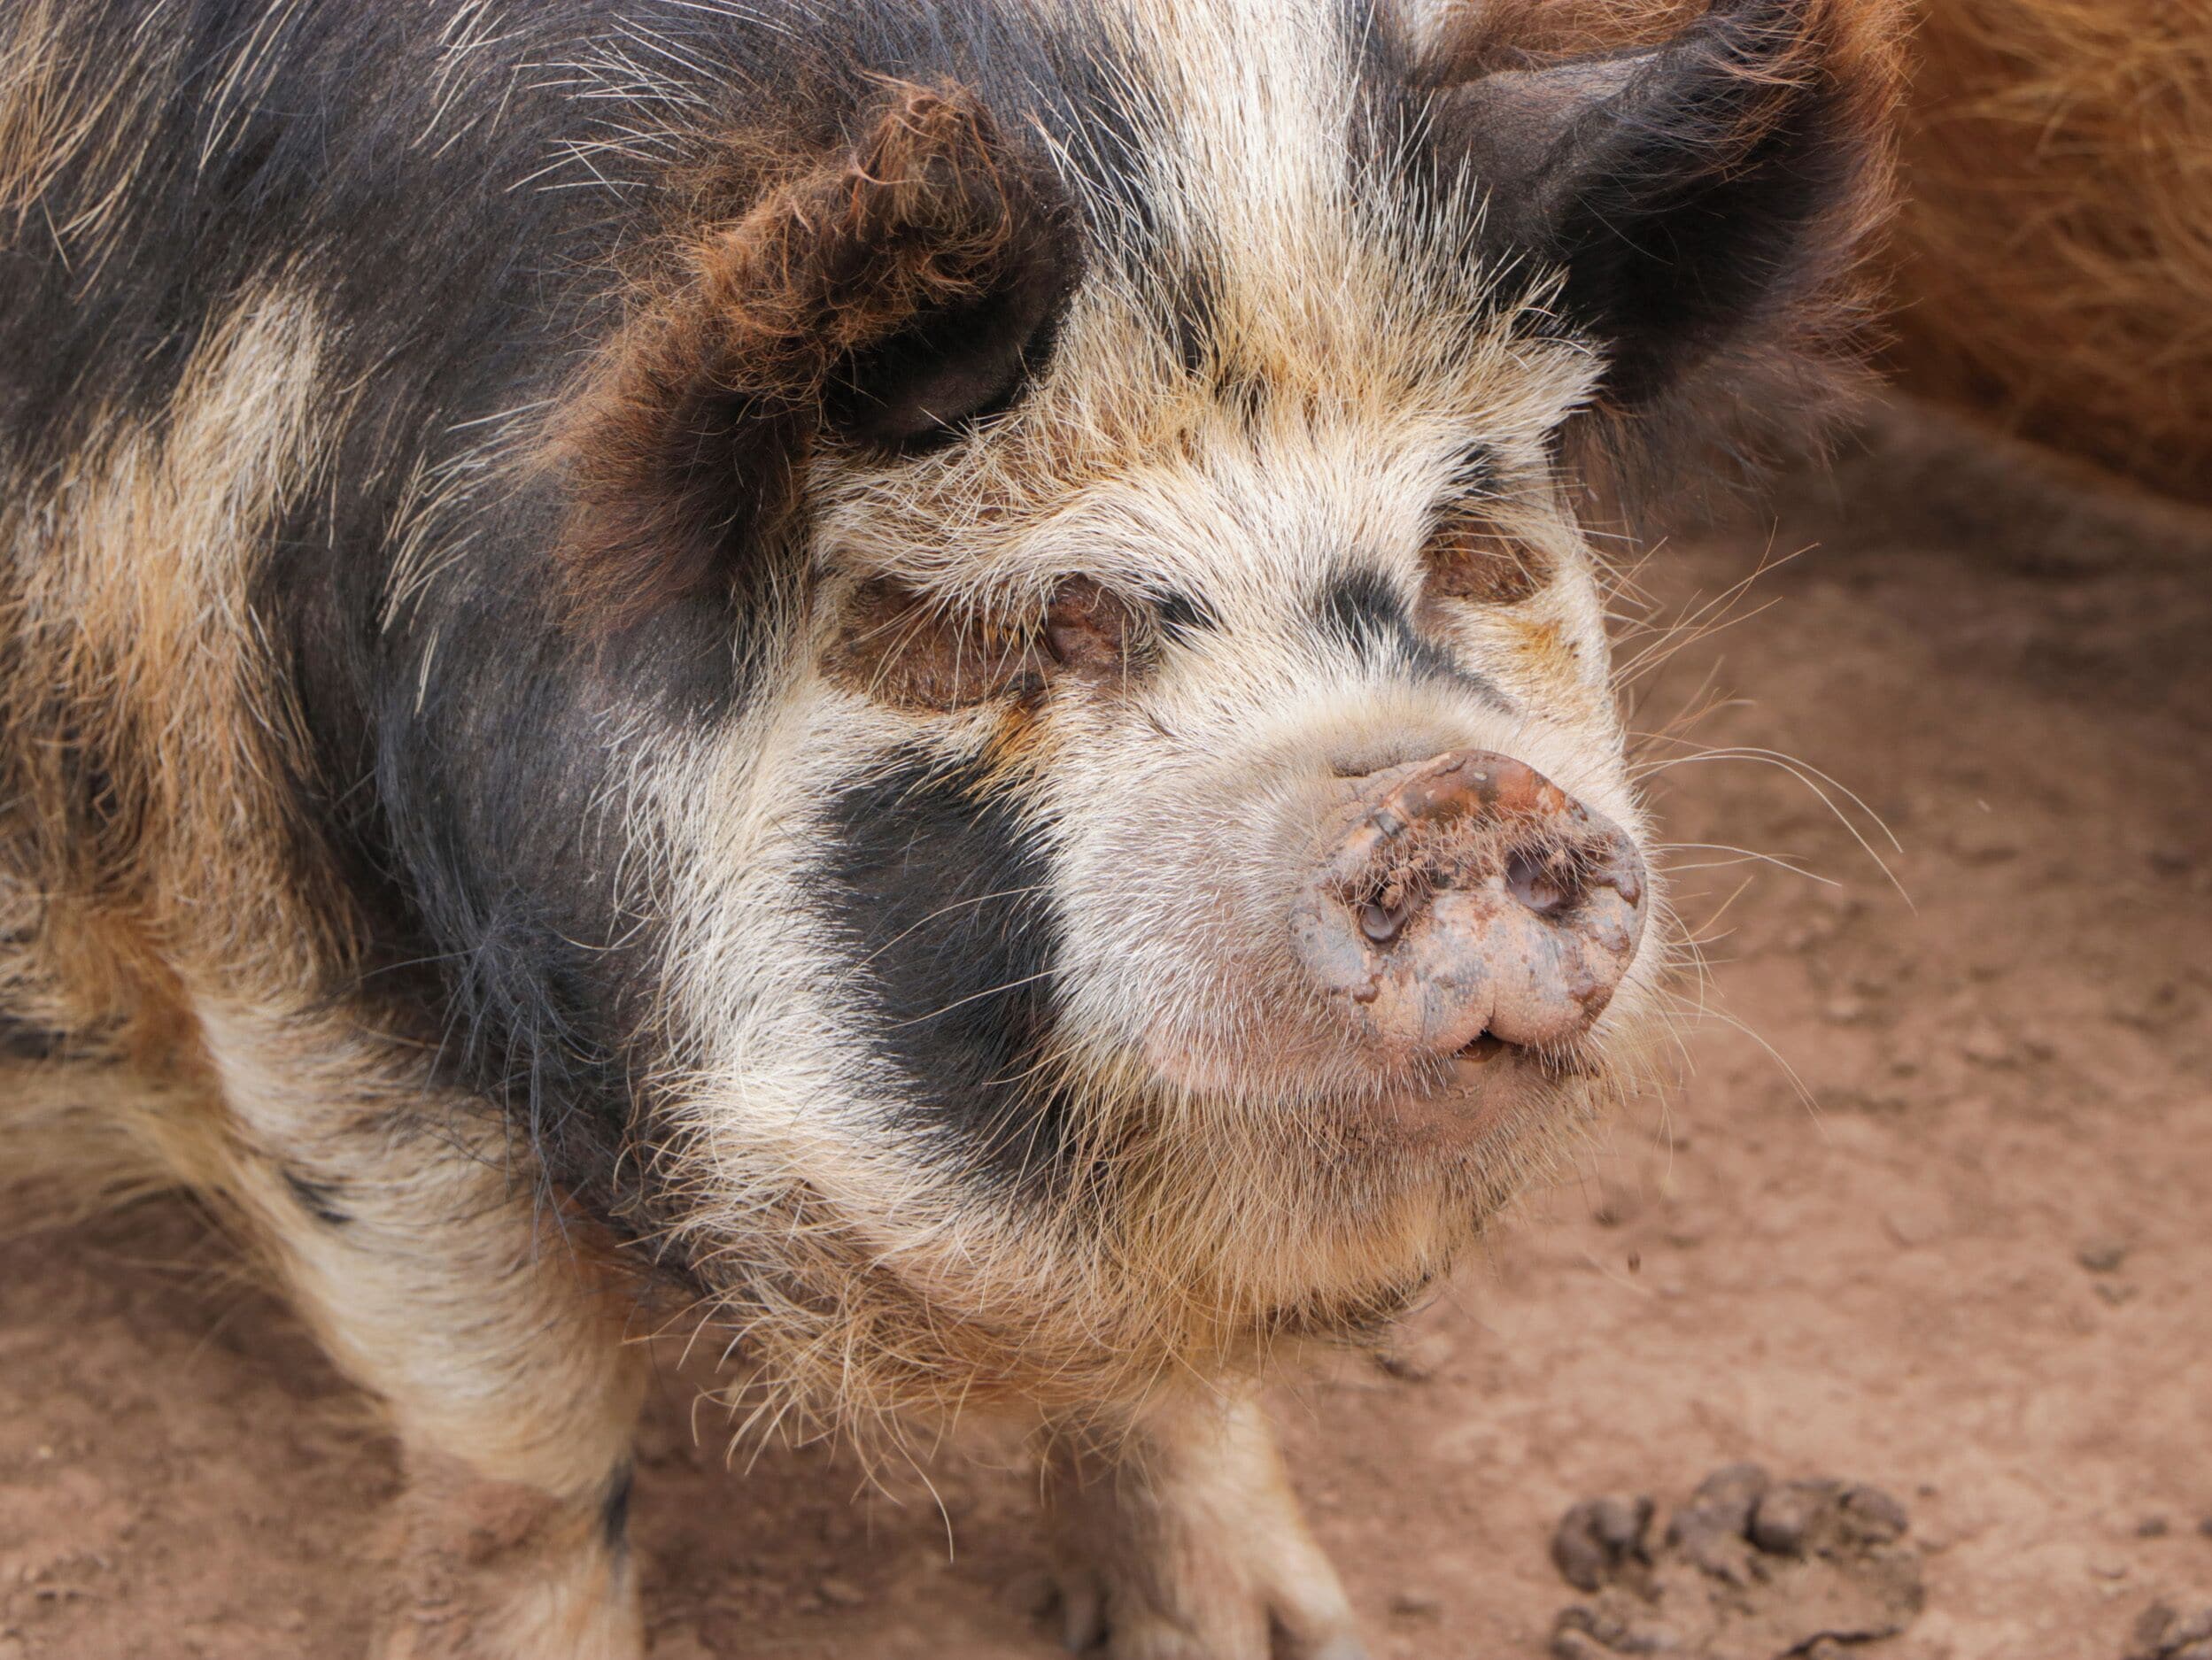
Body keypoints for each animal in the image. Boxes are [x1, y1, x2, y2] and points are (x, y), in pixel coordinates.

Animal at [0, 1, 1897, 1655]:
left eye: (1464, 546)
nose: (1451, 793)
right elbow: (517, 1440)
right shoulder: (262, 904)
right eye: (1012, 623)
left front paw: (1267, 1634)